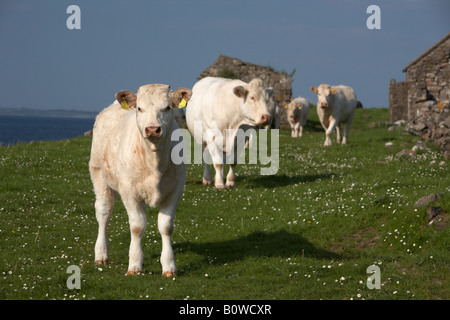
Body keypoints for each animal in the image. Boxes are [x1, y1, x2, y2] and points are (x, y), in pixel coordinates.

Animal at [89, 84, 192, 276]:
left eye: (167, 107)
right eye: (140, 108)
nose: (152, 129)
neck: (154, 162)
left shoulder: (175, 189)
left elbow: (166, 227)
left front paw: (169, 265)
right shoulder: (129, 191)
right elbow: (137, 226)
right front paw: (135, 264)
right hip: (98, 174)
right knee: (103, 213)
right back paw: (101, 254)